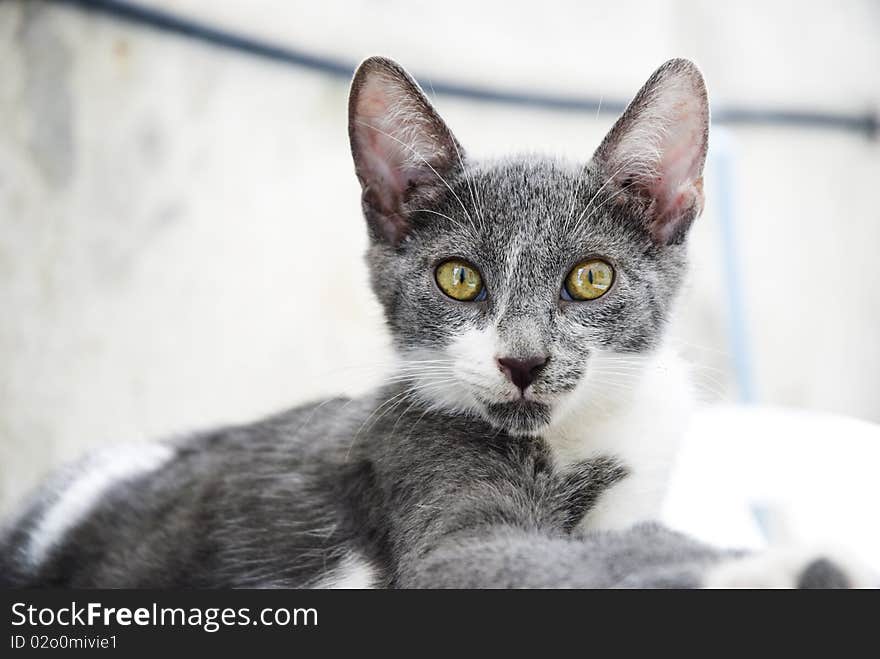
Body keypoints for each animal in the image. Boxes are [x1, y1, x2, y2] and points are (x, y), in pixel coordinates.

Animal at [0, 58, 868, 588]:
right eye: (459, 278)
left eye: (590, 278)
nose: (523, 360)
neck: (581, 438)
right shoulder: (420, 468)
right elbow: (514, 557)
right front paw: (782, 564)